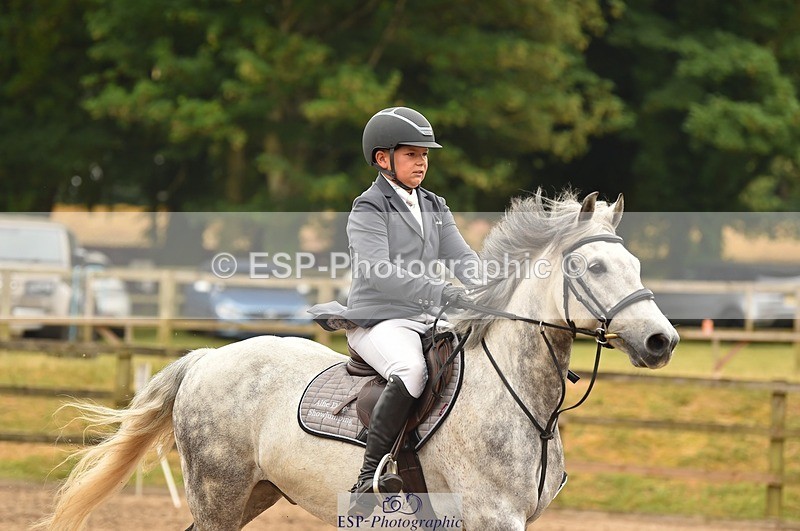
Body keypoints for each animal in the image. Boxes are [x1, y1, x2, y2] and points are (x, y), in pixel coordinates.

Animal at [41, 190, 679, 530]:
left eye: (635, 264)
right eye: (594, 267)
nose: (661, 341)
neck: (520, 401)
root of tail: (206, 358)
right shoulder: (490, 516)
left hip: (254, 492)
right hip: (219, 489)